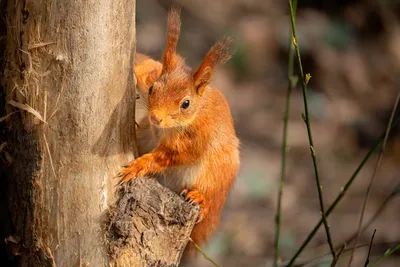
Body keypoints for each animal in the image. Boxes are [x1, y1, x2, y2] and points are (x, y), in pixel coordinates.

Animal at [119, 7, 239, 258]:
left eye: (186, 103)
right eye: (152, 88)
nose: (156, 118)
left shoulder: (196, 139)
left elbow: (169, 156)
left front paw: (138, 166)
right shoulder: (149, 73)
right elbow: (144, 65)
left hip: (217, 175)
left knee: (209, 197)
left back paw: (199, 198)